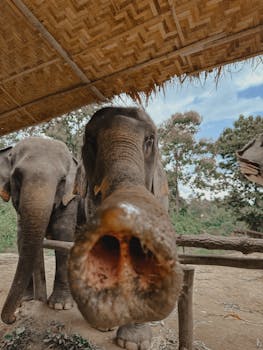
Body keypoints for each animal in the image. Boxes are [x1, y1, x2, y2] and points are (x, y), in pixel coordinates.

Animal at [0, 136, 79, 322]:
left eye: (62, 180)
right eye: (17, 176)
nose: (14, 317)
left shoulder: (71, 198)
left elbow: (62, 234)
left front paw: (60, 305)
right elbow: (21, 238)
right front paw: (26, 300)